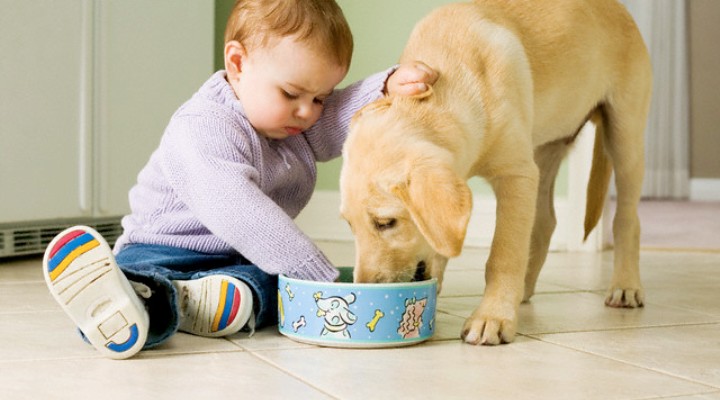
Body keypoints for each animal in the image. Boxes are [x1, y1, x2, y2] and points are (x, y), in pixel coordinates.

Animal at [338, 0, 652, 344]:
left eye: (386, 223)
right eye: (349, 225)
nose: (363, 288)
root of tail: (618, 7)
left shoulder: (516, 175)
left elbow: (504, 253)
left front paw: (492, 316)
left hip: (624, 135)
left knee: (627, 218)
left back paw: (625, 285)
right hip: (543, 149)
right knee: (545, 221)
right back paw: (524, 288)